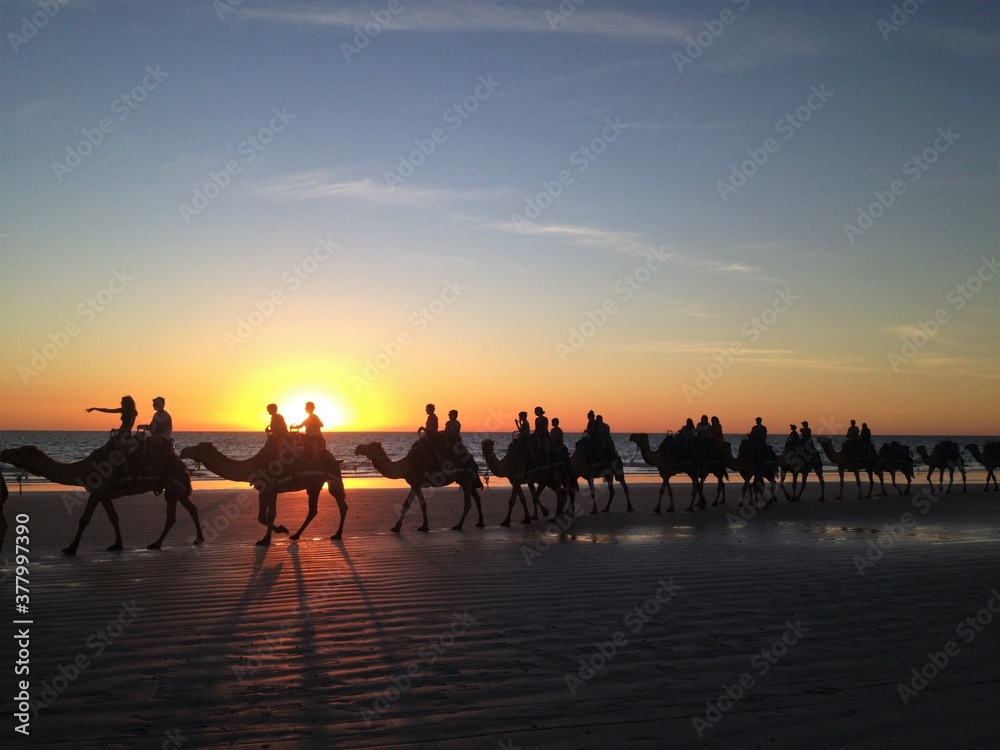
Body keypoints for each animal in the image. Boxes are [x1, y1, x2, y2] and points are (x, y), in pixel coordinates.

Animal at [0, 440, 203, 560]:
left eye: (20, 452)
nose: (3, 452)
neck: (82, 469)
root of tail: (183, 466)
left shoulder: (96, 491)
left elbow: (84, 519)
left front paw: (70, 548)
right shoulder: (104, 495)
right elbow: (113, 517)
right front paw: (117, 544)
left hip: (175, 485)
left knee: (178, 513)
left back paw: (169, 542)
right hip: (174, 489)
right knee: (184, 511)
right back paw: (165, 542)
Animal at [180, 440, 348, 548]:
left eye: (197, 448)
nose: (182, 451)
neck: (253, 465)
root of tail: (335, 459)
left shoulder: (271, 487)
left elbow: (271, 514)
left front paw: (266, 540)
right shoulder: (263, 489)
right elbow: (261, 516)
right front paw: (281, 530)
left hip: (332, 477)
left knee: (342, 504)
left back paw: (337, 534)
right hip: (314, 484)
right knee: (313, 510)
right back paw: (295, 535)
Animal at [356, 440, 484, 536]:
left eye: (370, 446)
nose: (357, 448)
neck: (405, 466)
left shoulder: (416, 483)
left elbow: (415, 504)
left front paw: (418, 527)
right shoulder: (414, 484)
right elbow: (414, 504)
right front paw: (404, 526)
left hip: (466, 478)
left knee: (468, 503)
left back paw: (458, 525)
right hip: (464, 479)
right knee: (477, 498)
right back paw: (480, 522)